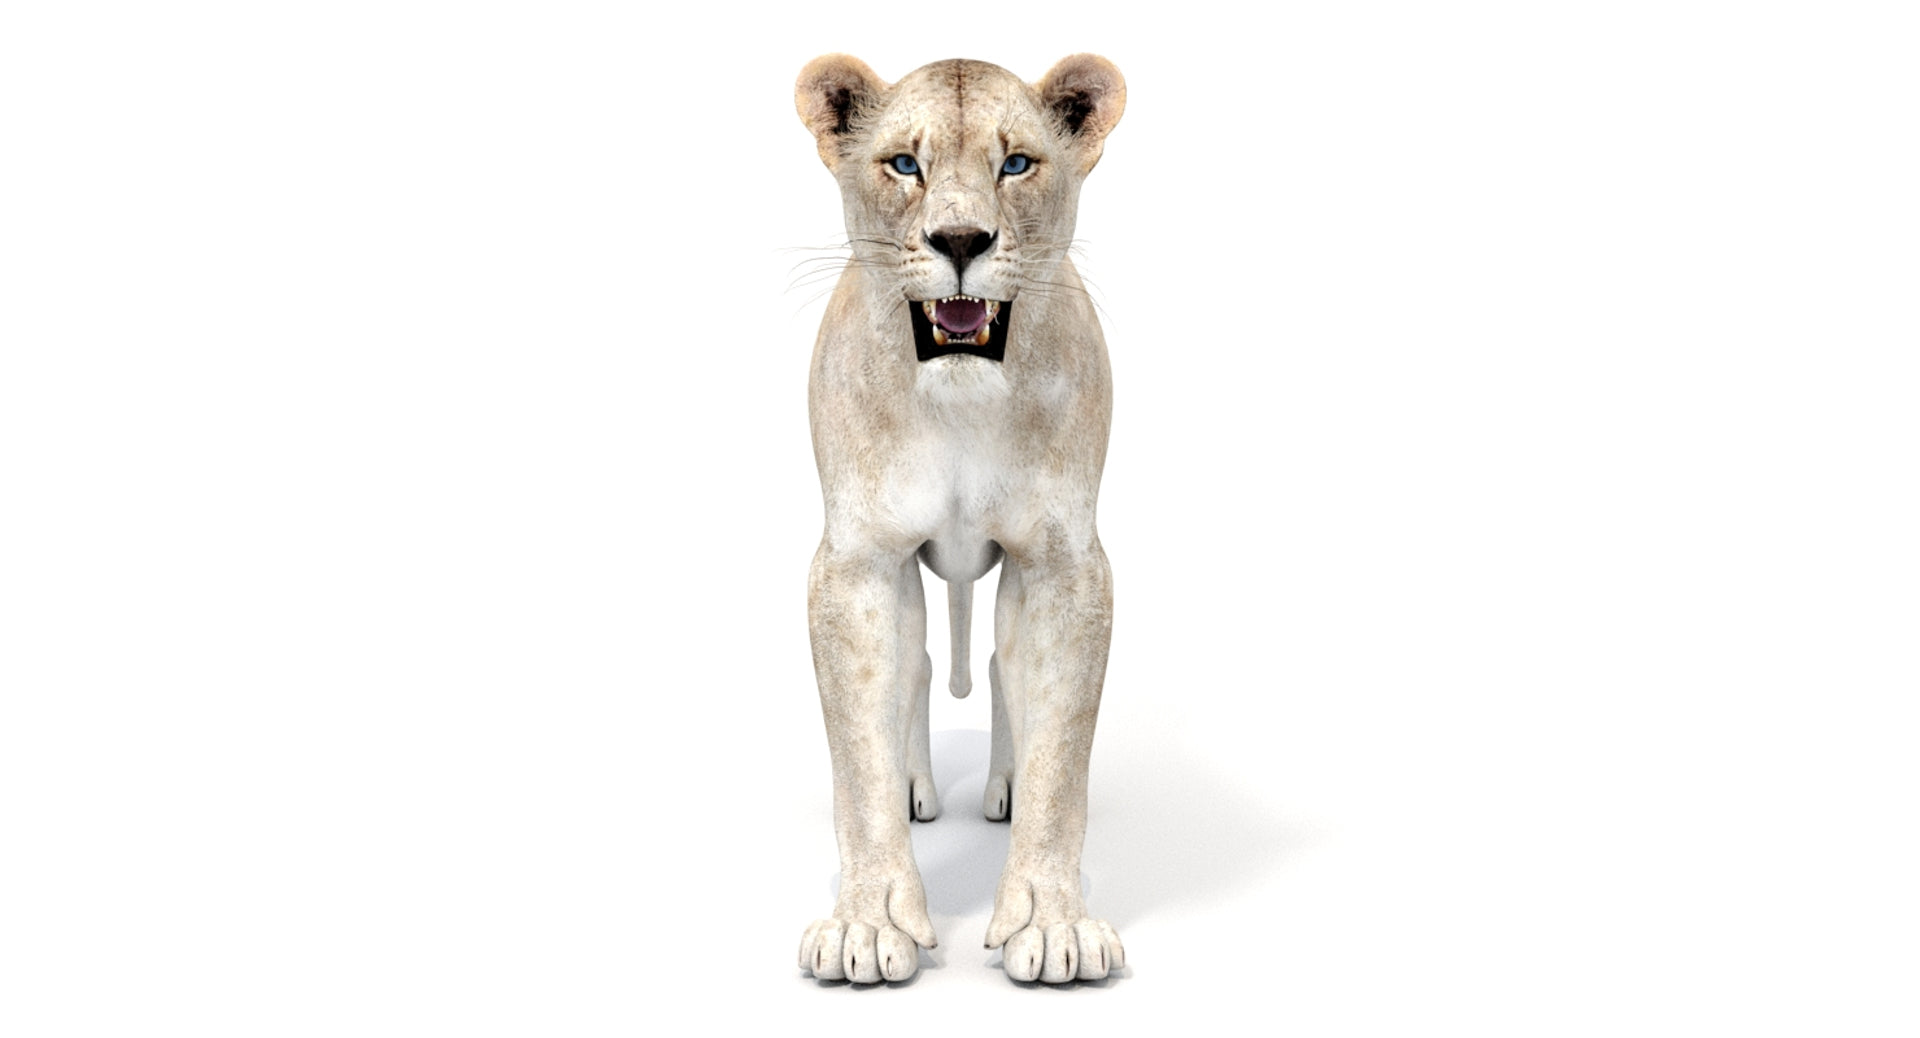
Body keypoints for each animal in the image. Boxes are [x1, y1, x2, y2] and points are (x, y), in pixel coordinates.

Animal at [793, 54, 1128, 985]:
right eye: (905, 164)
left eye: (1015, 164)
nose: (961, 243)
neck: (960, 405)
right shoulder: (858, 564)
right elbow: (859, 750)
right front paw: (868, 923)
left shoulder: (1063, 564)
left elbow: (1061, 752)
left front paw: (1051, 923)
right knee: (915, 670)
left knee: (1003, 669)